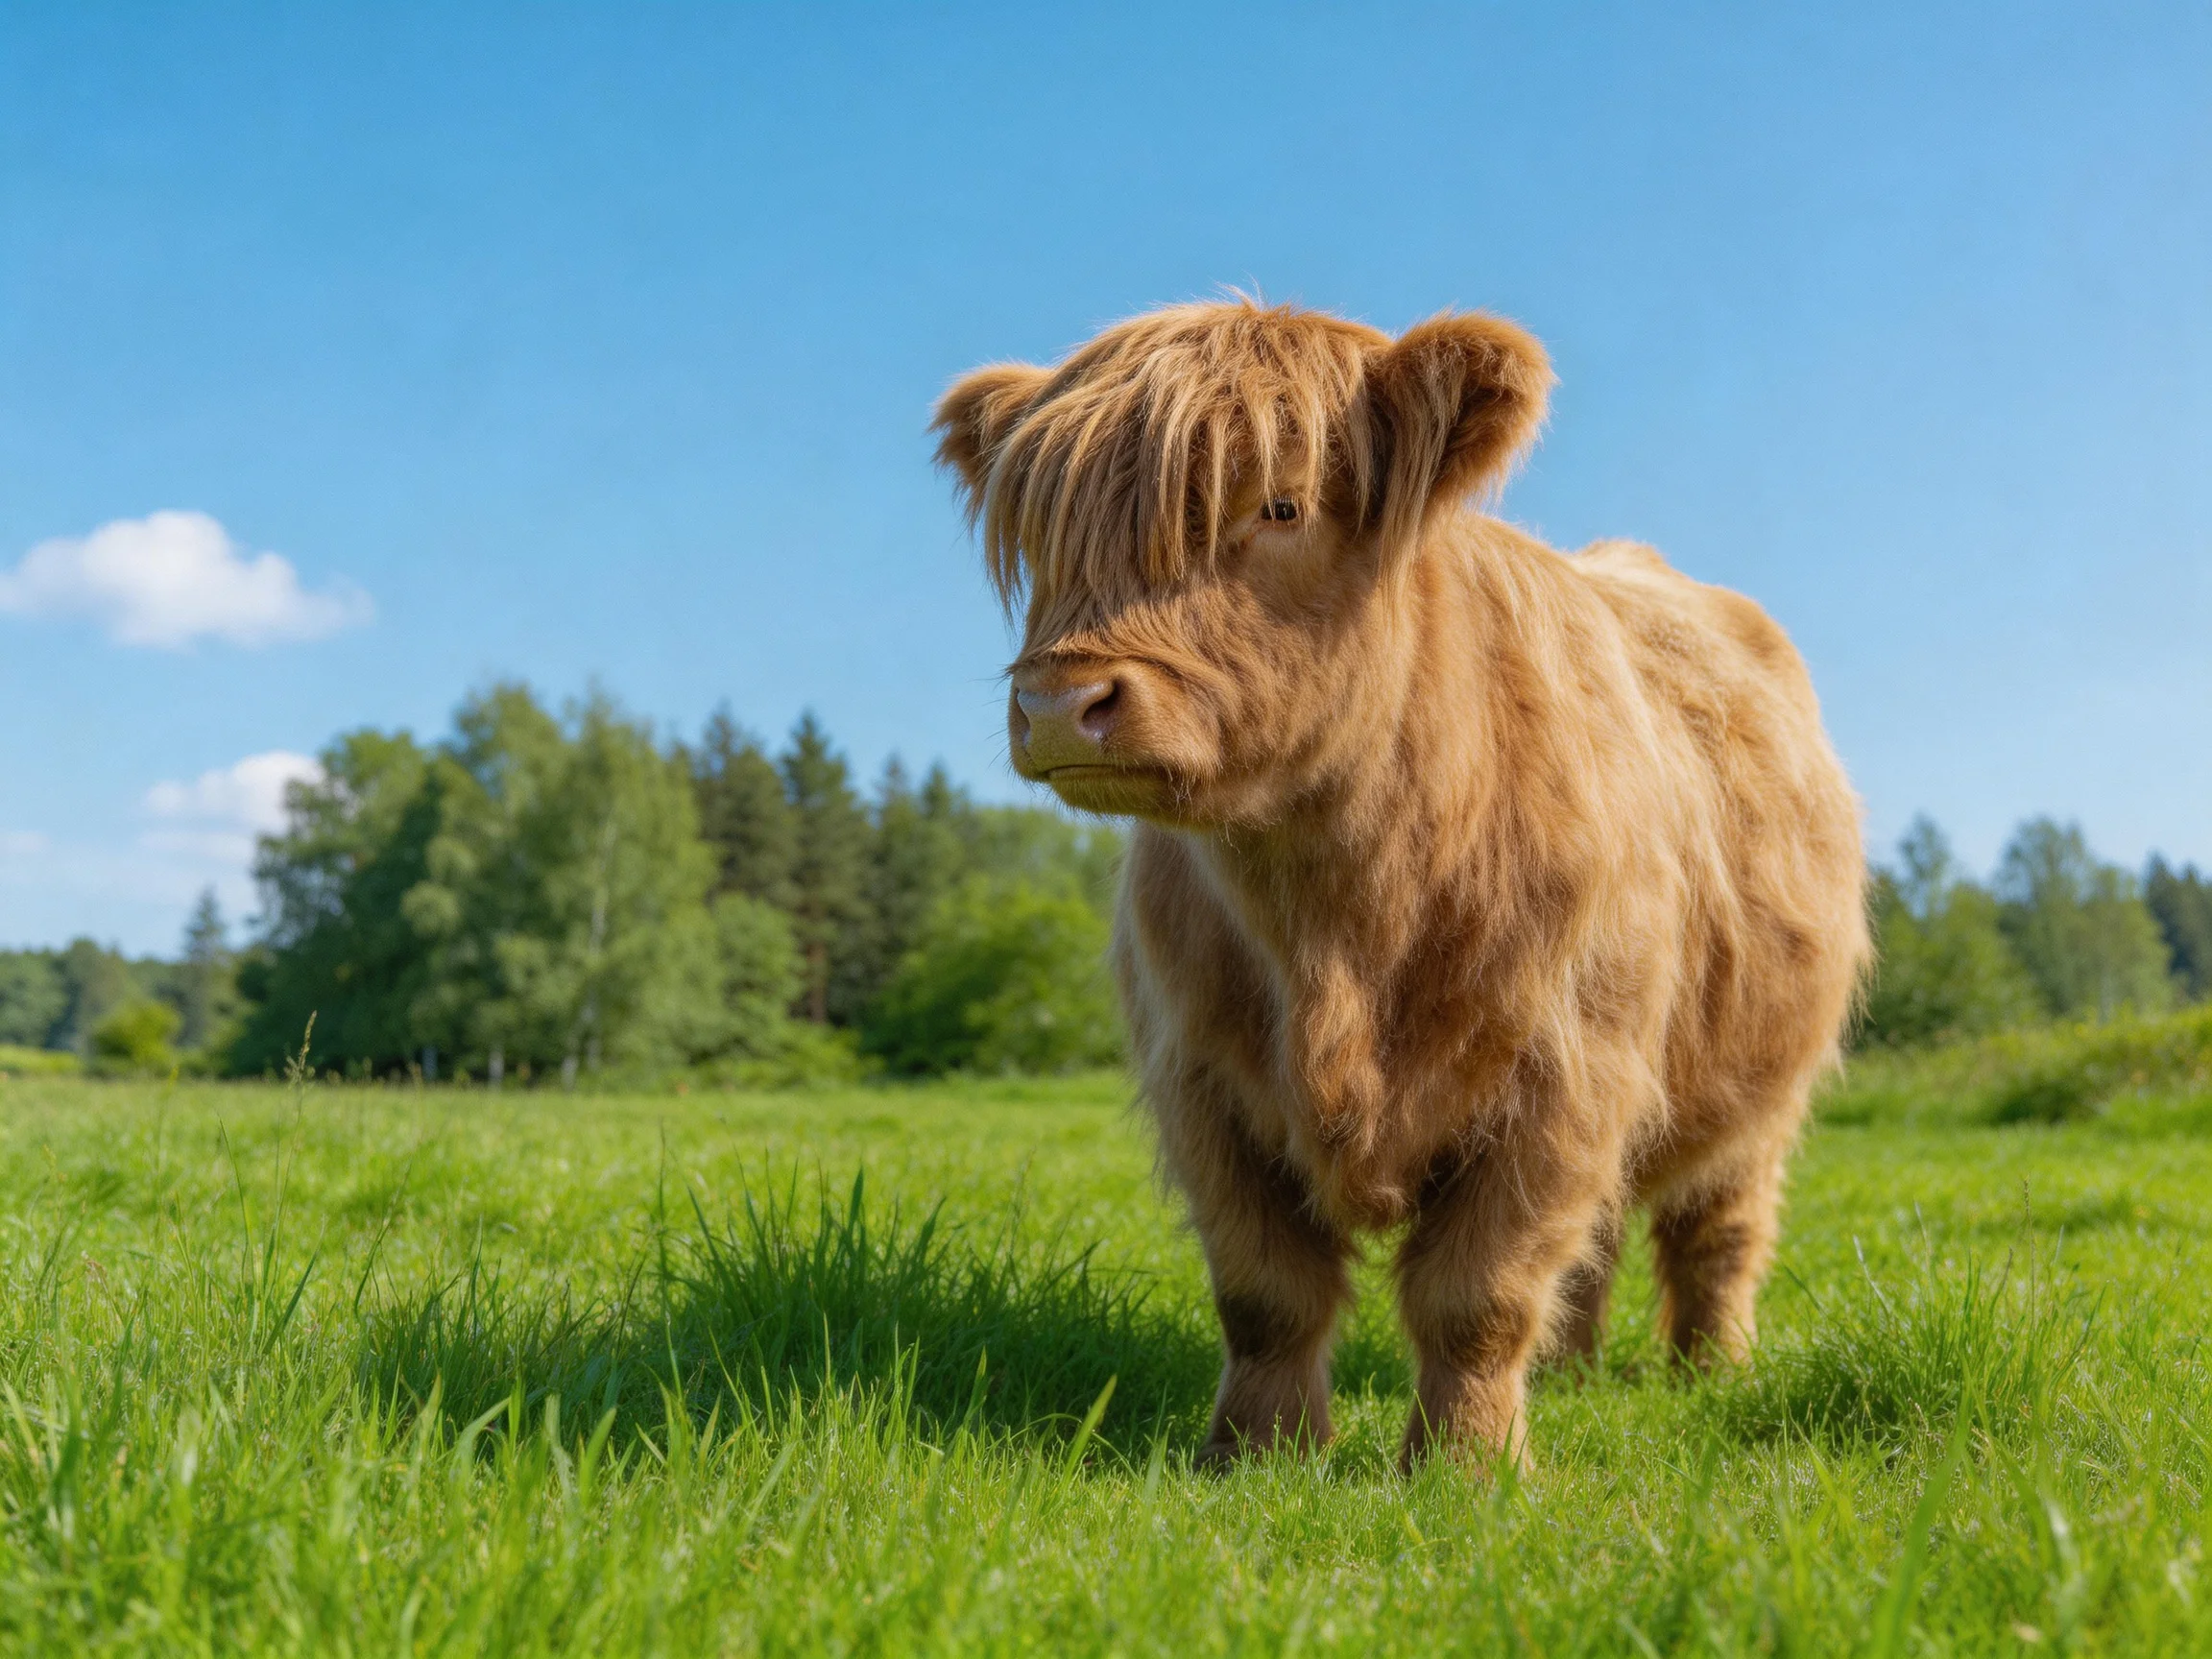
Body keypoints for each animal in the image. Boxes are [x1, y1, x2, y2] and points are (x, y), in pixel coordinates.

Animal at [933, 299, 1869, 1471]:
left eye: (1281, 505)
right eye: (1047, 527)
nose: (1062, 705)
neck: (1341, 918)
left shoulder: (1566, 1073)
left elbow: (1480, 1294)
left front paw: (1468, 1469)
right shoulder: (1201, 1077)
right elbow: (1266, 1294)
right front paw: (1257, 1455)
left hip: (1760, 1093)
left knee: (1718, 1228)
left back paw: (1712, 1372)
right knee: (1598, 1241)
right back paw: (1572, 1375)